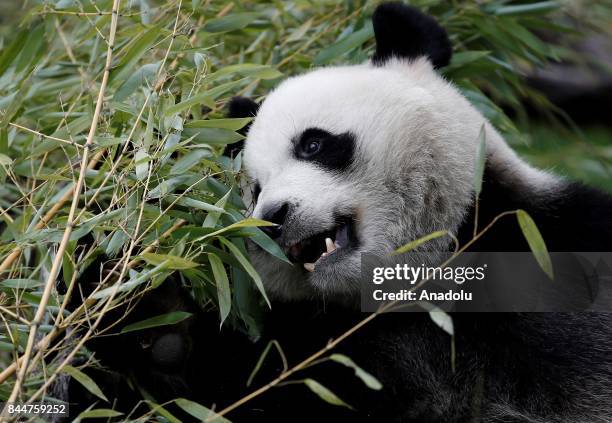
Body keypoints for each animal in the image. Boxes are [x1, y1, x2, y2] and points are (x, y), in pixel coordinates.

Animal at [63, 3, 612, 423]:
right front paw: (145, 306)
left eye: (312, 143)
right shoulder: (319, 349)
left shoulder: (550, 240)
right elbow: (202, 392)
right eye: (254, 189)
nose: (274, 216)